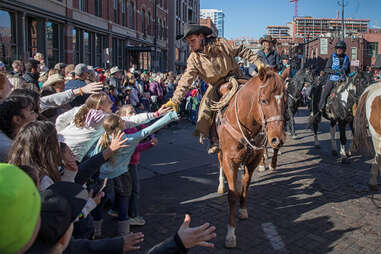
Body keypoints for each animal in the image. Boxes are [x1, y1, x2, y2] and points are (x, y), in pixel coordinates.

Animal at [215, 69, 284, 248]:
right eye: (264, 100)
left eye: (285, 99)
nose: (277, 139)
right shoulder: (229, 160)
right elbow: (232, 195)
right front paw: (230, 234)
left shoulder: (253, 160)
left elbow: (246, 184)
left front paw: (243, 209)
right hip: (220, 150)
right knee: (219, 163)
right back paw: (220, 185)